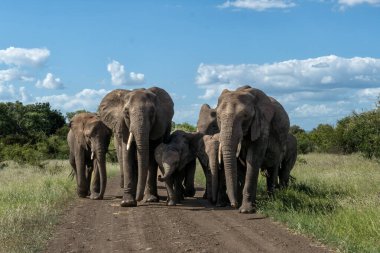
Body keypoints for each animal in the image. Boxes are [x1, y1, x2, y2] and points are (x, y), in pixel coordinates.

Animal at [215, 85, 290, 213]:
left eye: (245, 116)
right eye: (218, 117)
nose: (233, 205)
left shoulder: (263, 125)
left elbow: (253, 159)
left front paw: (245, 211)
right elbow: (240, 163)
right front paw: (241, 206)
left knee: (272, 169)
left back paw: (271, 200)